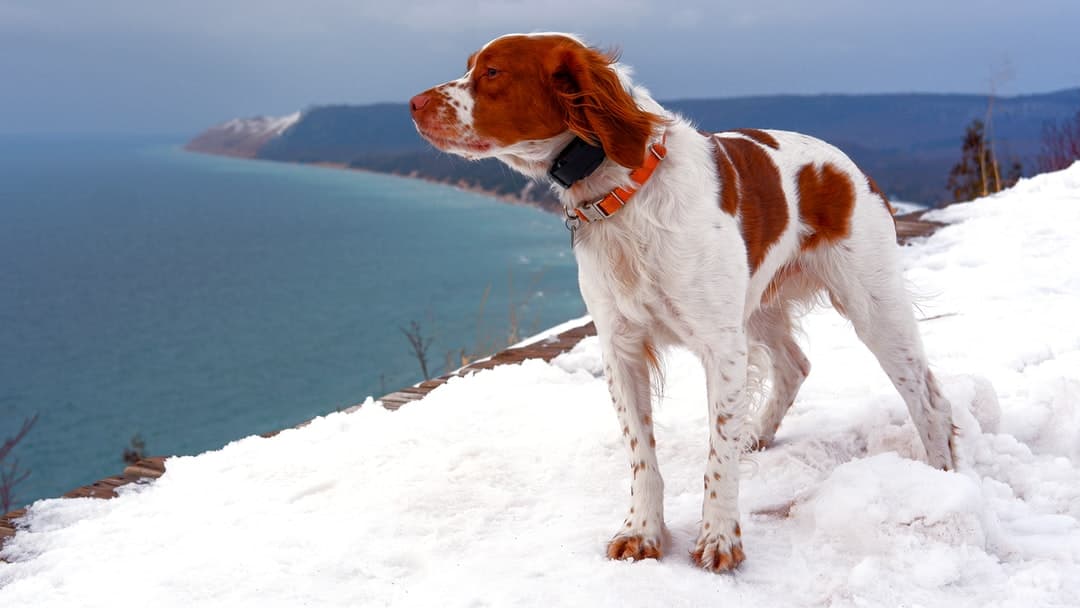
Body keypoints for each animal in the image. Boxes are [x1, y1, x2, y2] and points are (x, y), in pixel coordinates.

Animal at [408, 33, 959, 574]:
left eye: (493, 72)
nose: (413, 104)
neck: (623, 192)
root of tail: (850, 166)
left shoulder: (720, 345)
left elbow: (717, 455)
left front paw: (719, 539)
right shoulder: (622, 345)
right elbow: (642, 454)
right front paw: (642, 532)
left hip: (872, 304)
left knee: (928, 397)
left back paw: (942, 475)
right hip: (758, 308)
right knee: (795, 364)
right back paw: (758, 433)